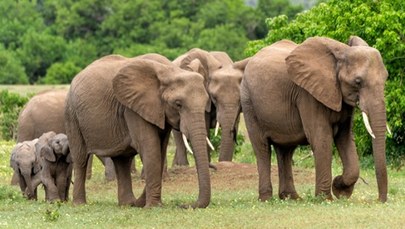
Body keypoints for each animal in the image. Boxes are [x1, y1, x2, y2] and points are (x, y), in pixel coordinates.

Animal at [64, 53, 211, 208]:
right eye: (178, 104)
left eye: (206, 102)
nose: (184, 205)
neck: (169, 70)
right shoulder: (133, 109)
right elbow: (150, 147)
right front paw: (154, 207)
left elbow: (160, 149)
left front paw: (151, 204)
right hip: (71, 115)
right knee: (80, 158)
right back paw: (80, 204)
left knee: (122, 161)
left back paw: (127, 204)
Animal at [241, 35, 386, 202]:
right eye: (358, 81)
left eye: (386, 78)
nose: (380, 200)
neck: (341, 53)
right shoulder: (307, 94)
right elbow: (321, 138)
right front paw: (325, 199)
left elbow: (345, 138)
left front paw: (340, 191)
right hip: (248, 102)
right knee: (262, 148)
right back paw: (266, 199)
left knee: (285, 150)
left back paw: (292, 198)